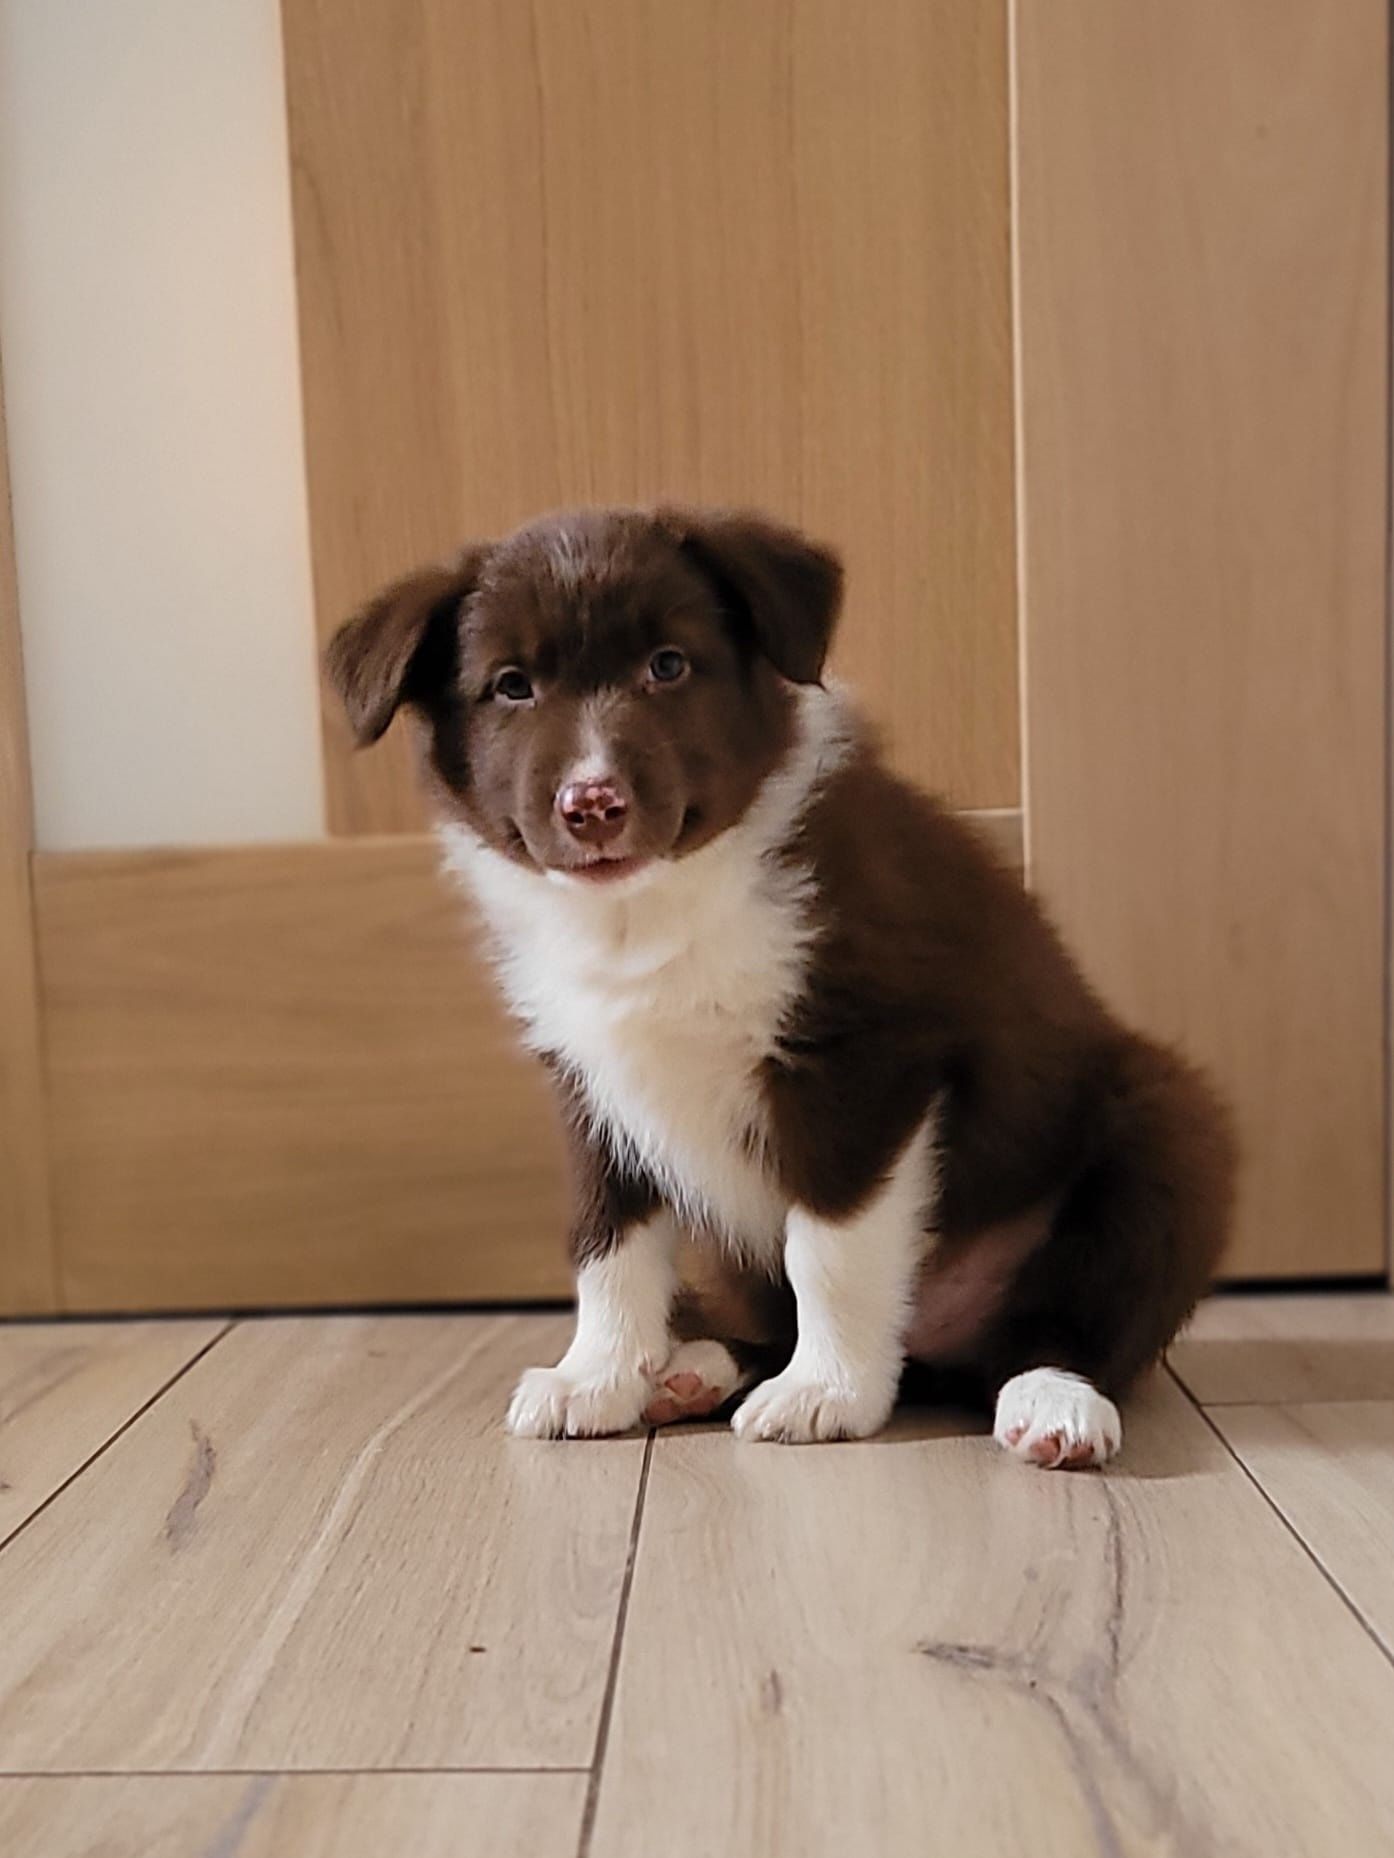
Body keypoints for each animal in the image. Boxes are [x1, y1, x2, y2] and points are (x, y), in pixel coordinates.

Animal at [327, 505, 1234, 1464]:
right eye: (511, 687)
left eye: (669, 665)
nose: (593, 804)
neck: (654, 911)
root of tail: (942, 1352)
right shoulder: (595, 1081)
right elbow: (608, 1239)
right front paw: (597, 1377)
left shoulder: (861, 1059)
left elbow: (828, 1249)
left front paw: (825, 1392)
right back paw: (695, 1368)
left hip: (1164, 1139)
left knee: (1069, 1317)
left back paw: (1052, 1400)